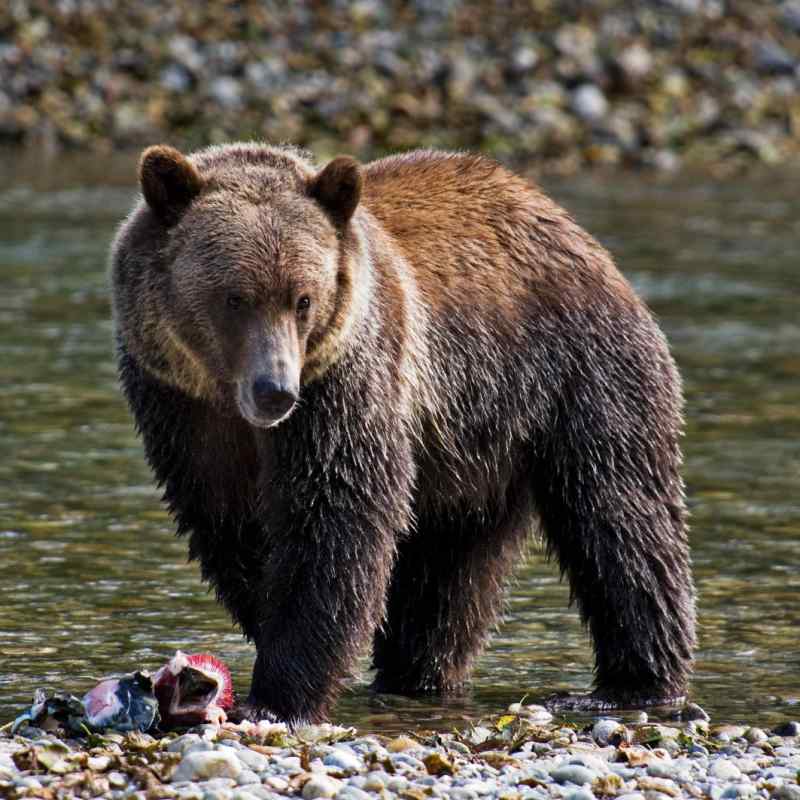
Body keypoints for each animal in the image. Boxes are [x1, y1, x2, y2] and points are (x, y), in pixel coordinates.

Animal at [110, 142, 696, 723]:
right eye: (234, 298)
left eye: (303, 298)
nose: (275, 389)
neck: (231, 403)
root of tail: (577, 233)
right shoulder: (181, 410)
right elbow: (229, 522)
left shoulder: (346, 384)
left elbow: (335, 517)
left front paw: (278, 696)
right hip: (468, 450)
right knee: (449, 572)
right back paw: (417, 674)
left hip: (577, 376)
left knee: (619, 517)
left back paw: (629, 683)